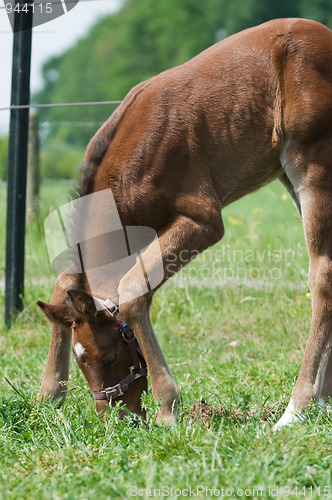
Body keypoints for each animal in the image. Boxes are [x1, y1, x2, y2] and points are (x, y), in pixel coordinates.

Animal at [37, 17, 332, 428]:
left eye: (109, 357)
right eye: (81, 363)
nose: (116, 418)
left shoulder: (203, 220)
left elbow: (132, 290)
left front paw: (167, 407)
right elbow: (65, 283)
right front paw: (47, 396)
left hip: (312, 164)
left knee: (322, 276)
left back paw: (298, 407)